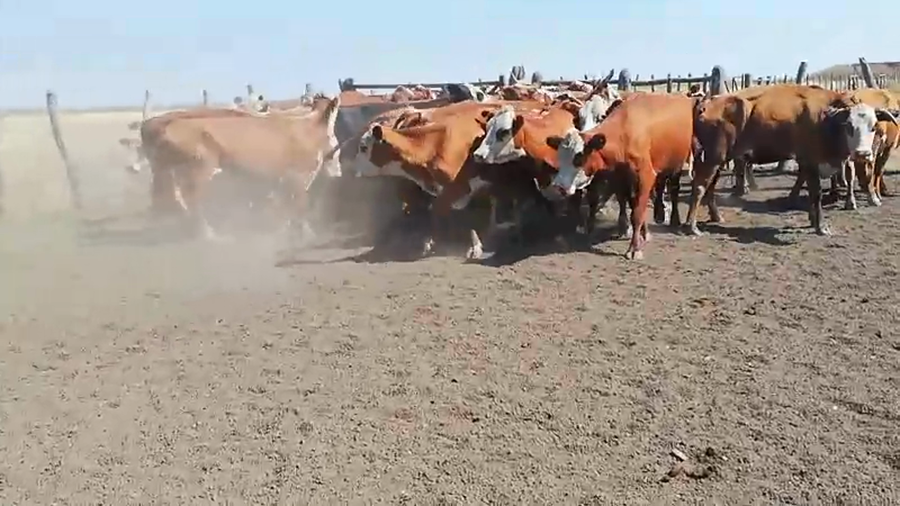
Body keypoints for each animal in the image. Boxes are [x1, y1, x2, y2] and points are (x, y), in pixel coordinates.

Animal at [140, 95, 342, 241]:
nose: (338, 172)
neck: (309, 129)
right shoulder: (298, 177)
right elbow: (299, 206)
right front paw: (306, 234)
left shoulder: (281, 180)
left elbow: (285, 205)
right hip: (197, 171)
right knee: (191, 200)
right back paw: (207, 233)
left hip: (173, 171)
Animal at [544, 93, 697, 260]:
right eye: (560, 157)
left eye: (579, 157)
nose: (558, 186)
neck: (624, 137)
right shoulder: (620, 178)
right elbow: (631, 205)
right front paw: (642, 233)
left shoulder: (645, 177)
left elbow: (637, 214)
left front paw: (635, 248)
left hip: (677, 163)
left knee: (674, 189)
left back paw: (674, 219)